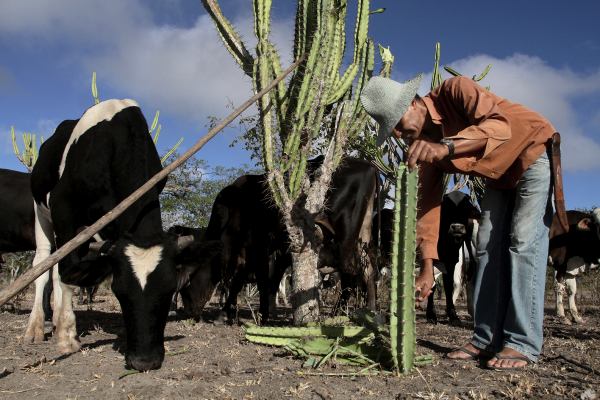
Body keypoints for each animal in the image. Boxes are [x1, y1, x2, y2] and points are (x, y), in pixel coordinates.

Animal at [27, 100, 220, 372]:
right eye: (118, 292)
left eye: (169, 290)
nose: (144, 361)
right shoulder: (62, 206)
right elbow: (67, 275)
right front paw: (67, 338)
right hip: (41, 209)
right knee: (44, 264)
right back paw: (37, 328)